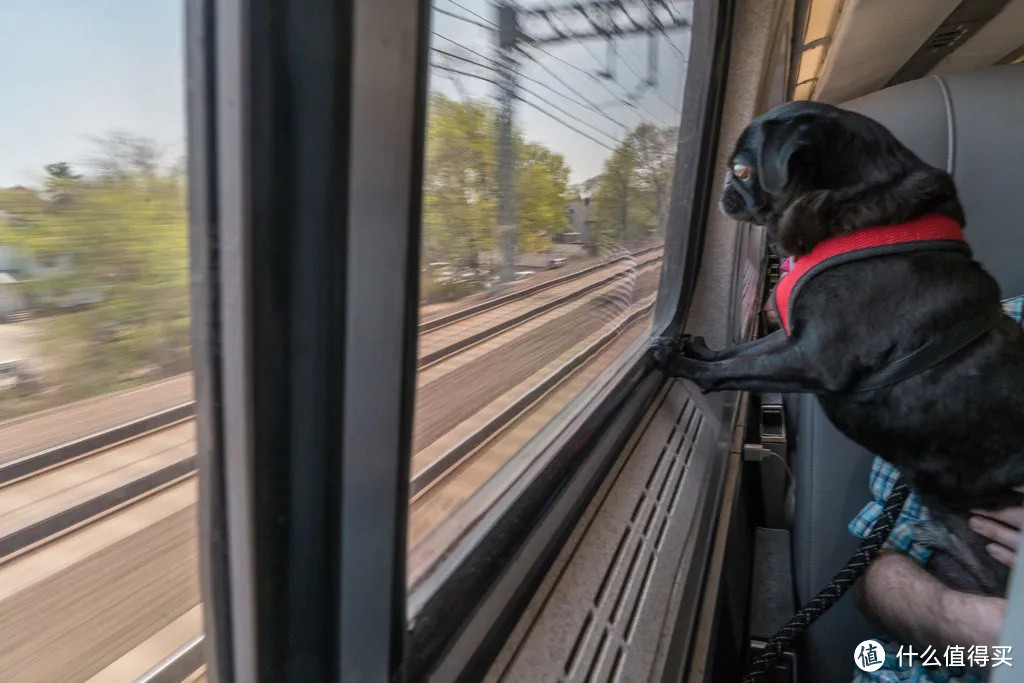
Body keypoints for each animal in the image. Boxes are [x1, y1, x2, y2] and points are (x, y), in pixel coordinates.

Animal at [651, 98, 1019, 593]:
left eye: (742, 170)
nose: (725, 188)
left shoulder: (814, 357)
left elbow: (733, 371)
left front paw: (679, 362)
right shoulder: (791, 337)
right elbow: (739, 354)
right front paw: (700, 350)